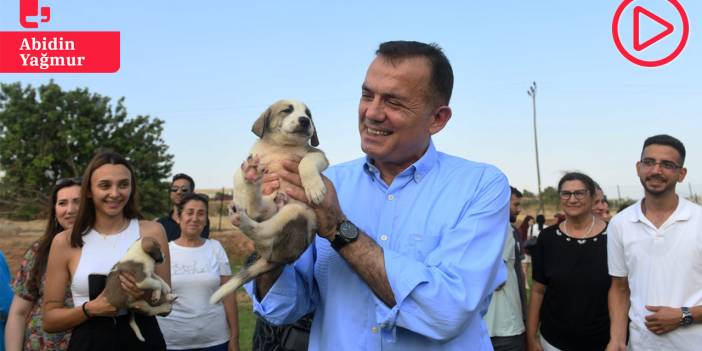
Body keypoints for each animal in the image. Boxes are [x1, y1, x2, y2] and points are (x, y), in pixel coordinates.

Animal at [209, 99, 330, 306]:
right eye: (287, 110)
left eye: (308, 114)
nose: (305, 121)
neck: (281, 146)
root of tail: (277, 260)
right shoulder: (251, 157)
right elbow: (237, 174)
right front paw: (241, 187)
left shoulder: (318, 154)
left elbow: (306, 161)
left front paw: (315, 188)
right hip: (272, 206)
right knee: (257, 212)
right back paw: (250, 183)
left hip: (296, 213)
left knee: (263, 234)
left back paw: (242, 218)